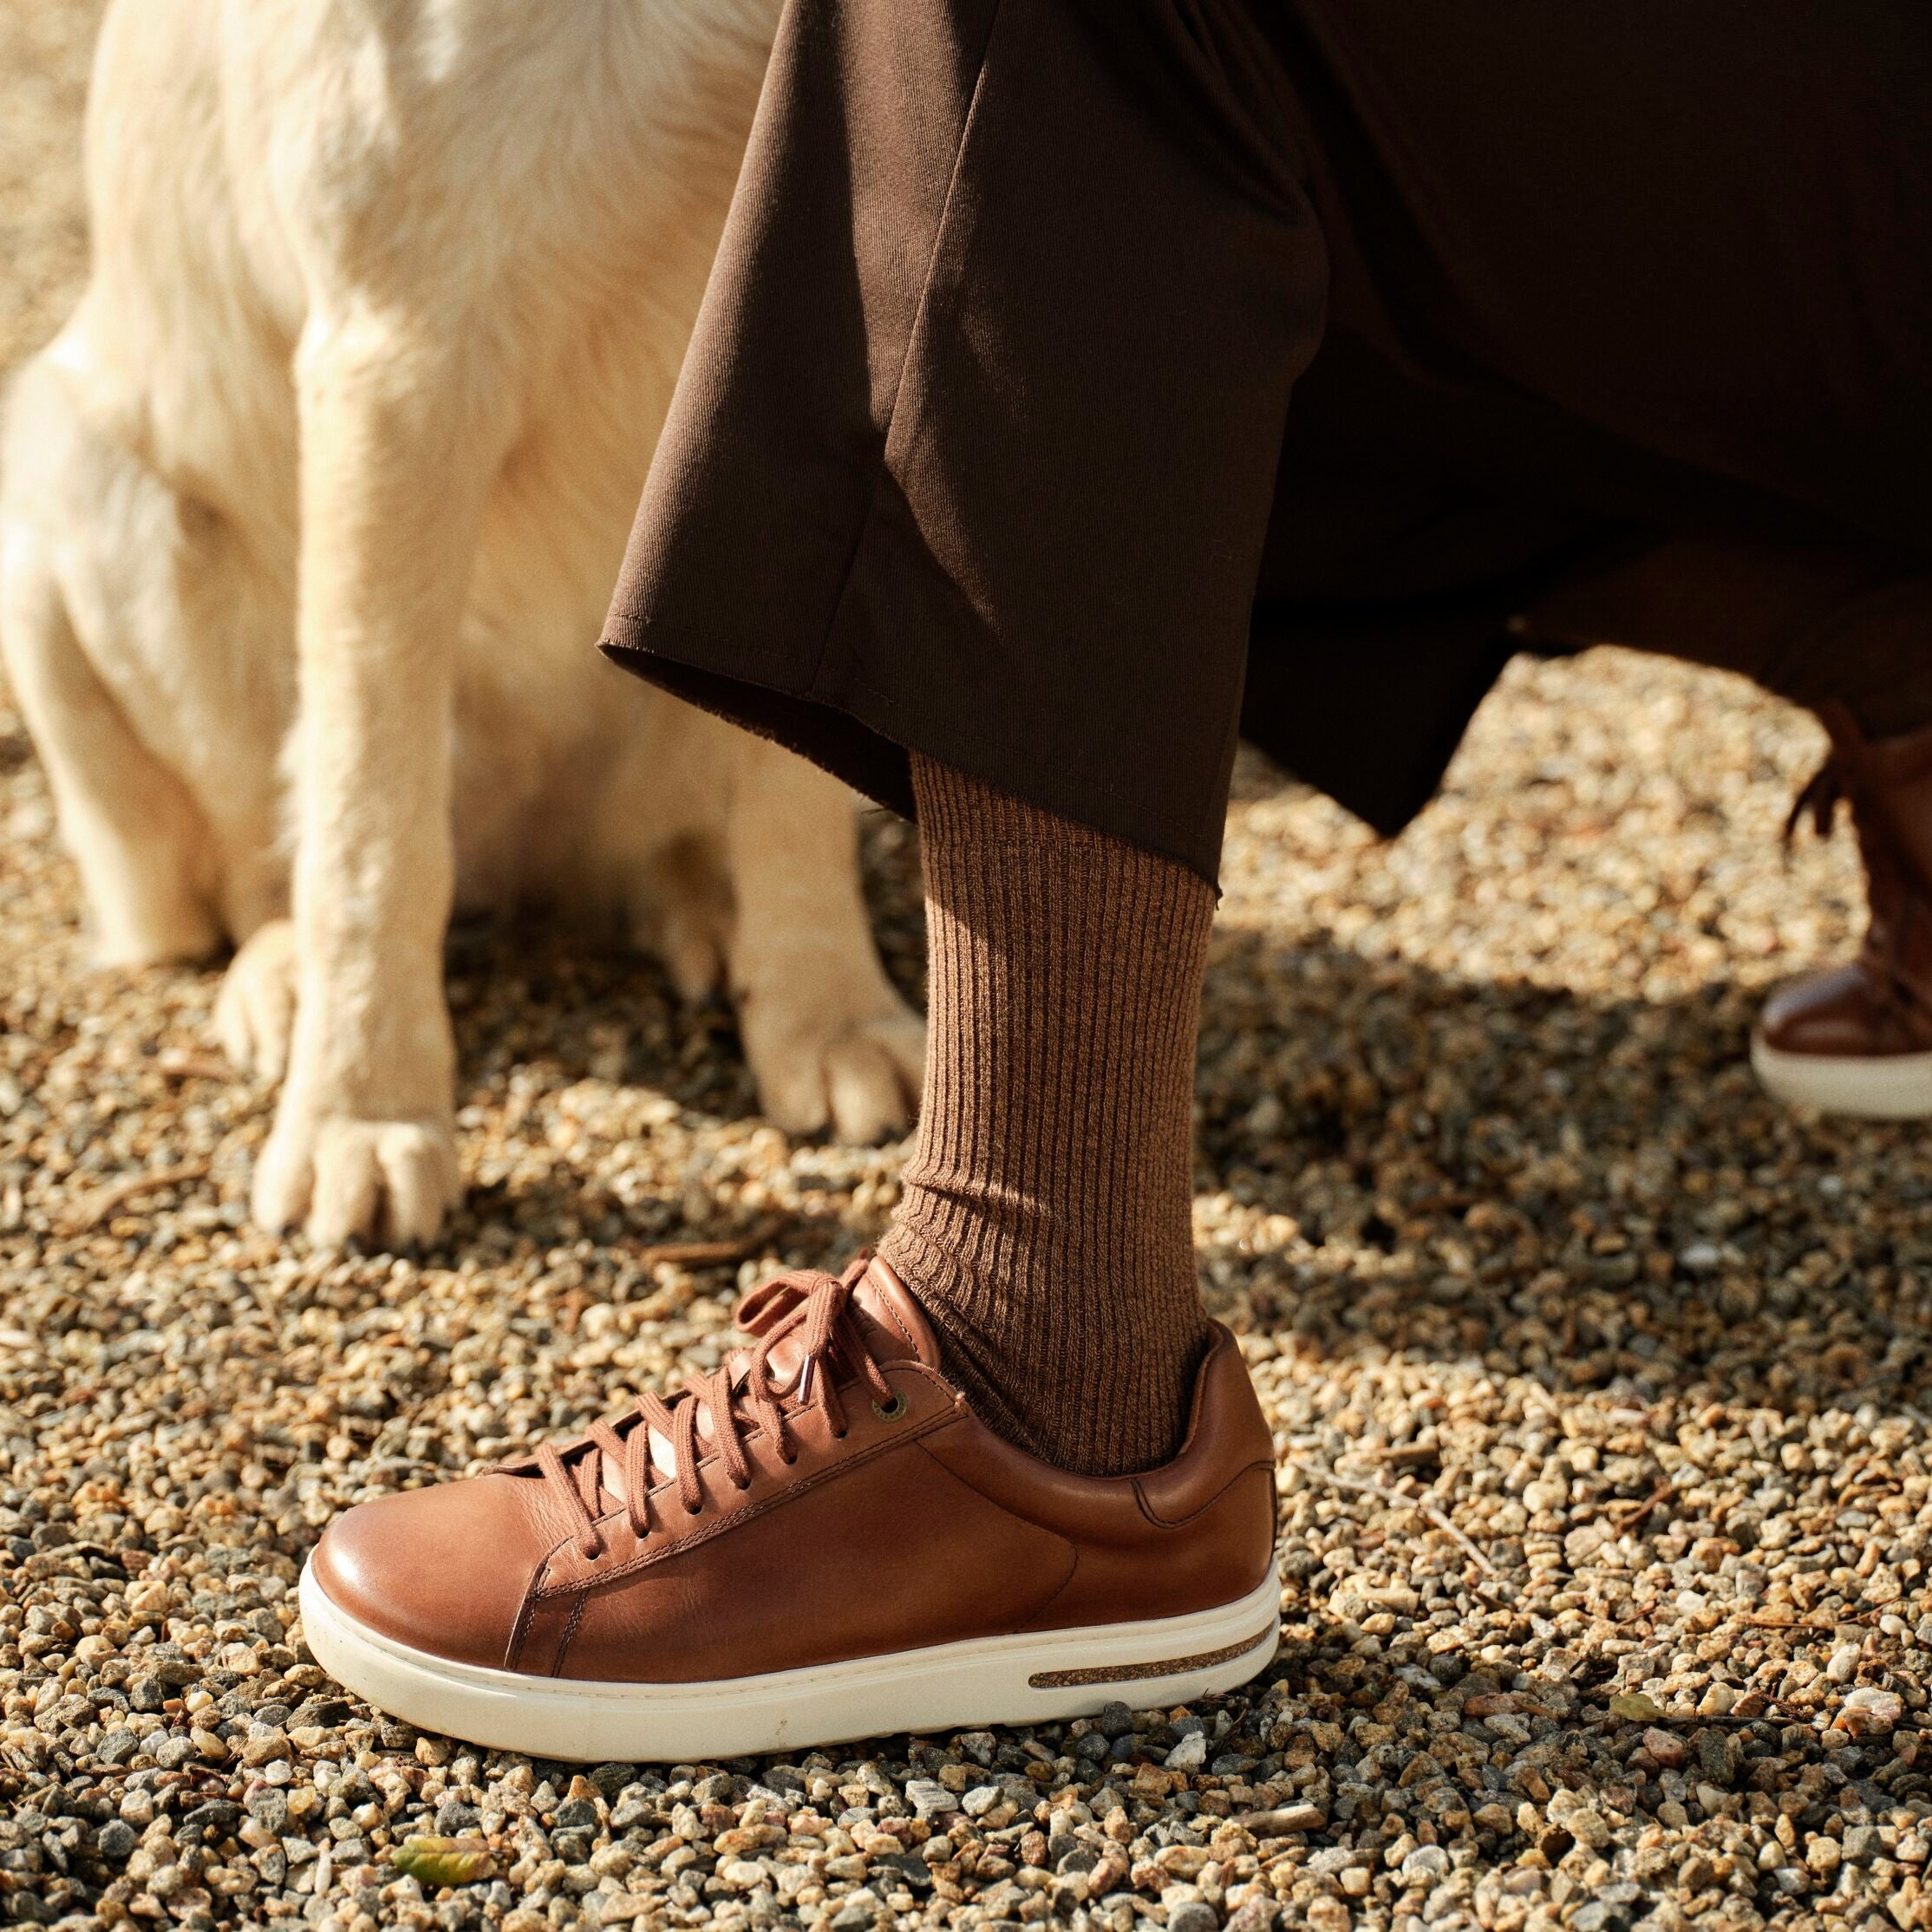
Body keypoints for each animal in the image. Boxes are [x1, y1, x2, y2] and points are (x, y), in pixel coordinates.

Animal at [0, 0, 923, 1243]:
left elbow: (794, 797)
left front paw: (829, 1017)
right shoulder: (404, 352)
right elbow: (372, 823)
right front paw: (362, 1116)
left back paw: (705, 906)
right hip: (57, 469)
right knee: (251, 873)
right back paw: (285, 982)